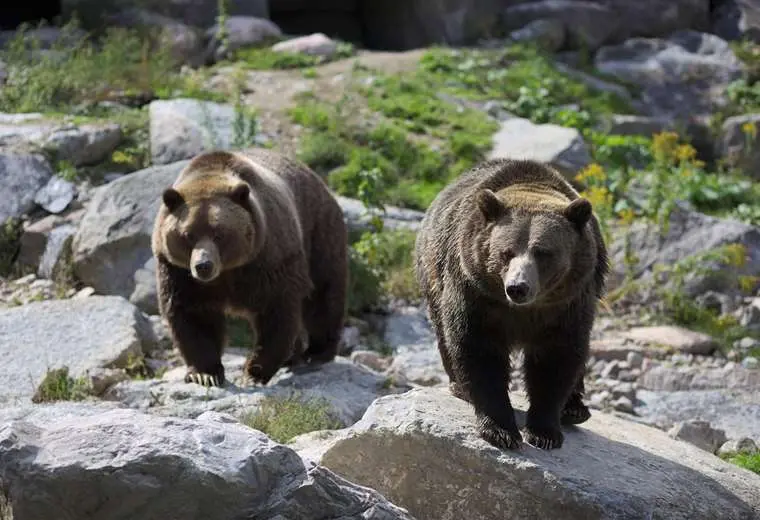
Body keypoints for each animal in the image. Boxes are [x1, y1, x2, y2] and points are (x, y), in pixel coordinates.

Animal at [151, 148, 349, 388]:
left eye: (219, 234)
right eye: (188, 235)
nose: (203, 266)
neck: (227, 271)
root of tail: (318, 179)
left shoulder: (268, 258)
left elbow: (277, 310)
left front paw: (253, 372)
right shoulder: (177, 271)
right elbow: (192, 315)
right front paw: (205, 374)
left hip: (319, 231)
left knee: (324, 293)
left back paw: (317, 352)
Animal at [414, 158, 608, 450]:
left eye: (543, 253)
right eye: (506, 252)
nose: (518, 287)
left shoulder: (568, 303)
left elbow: (557, 356)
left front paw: (544, 431)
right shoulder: (476, 293)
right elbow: (478, 348)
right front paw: (501, 430)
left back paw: (575, 409)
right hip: (432, 274)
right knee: (444, 332)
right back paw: (459, 386)